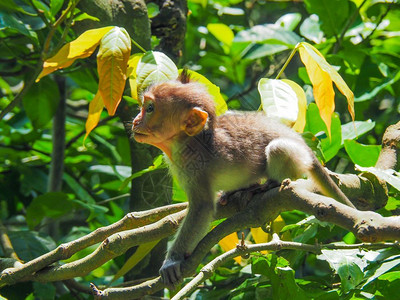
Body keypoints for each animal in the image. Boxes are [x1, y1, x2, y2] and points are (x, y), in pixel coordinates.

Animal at [132, 72, 356, 288]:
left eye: (150, 108)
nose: (135, 120)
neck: (189, 140)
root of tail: (304, 145)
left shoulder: (194, 167)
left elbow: (202, 207)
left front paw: (174, 260)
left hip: (295, 155)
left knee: (278, 149)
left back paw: (267, 185)